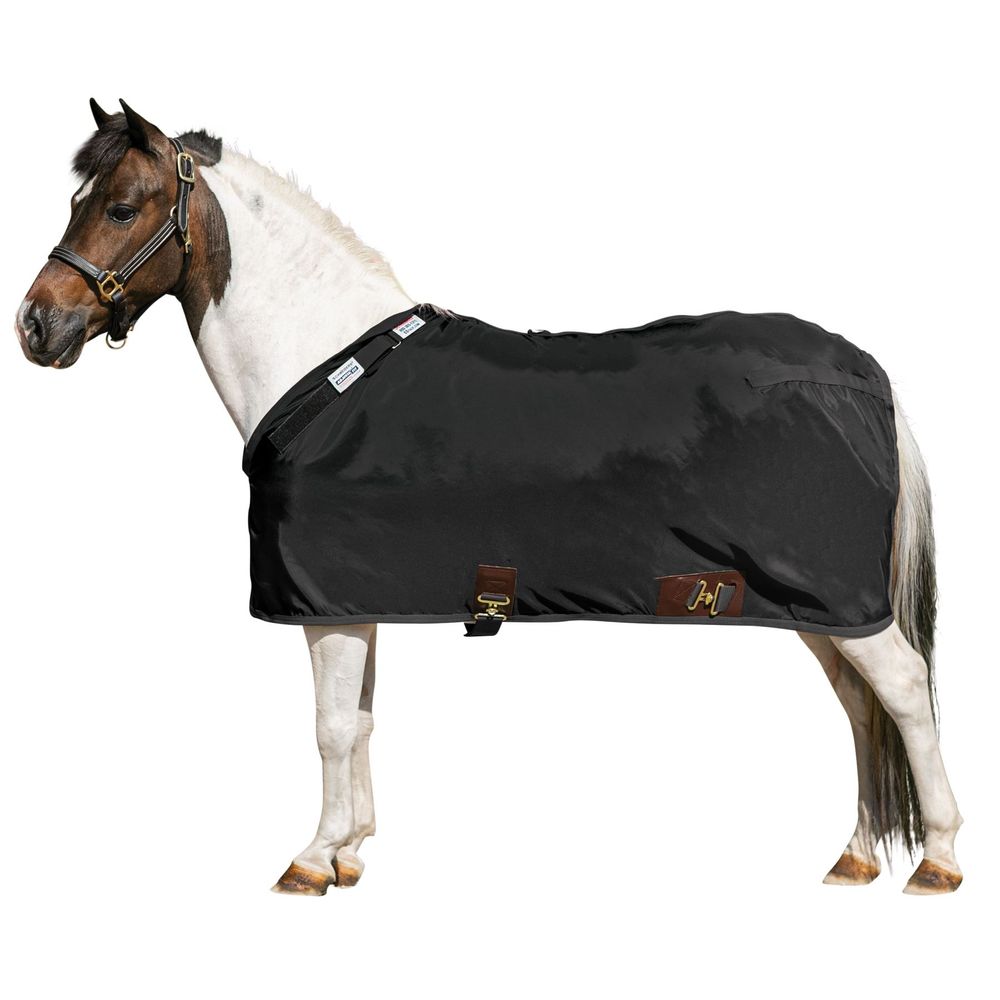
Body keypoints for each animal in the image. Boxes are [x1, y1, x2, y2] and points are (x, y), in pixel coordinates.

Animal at [14, 99, 964, 896]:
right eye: (78, 200)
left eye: (123, 207)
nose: (35, 325)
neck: (322, 370)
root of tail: (865, 373)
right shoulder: (356, 600)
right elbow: (362, 722)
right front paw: (352, 853)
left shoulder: (321, 604)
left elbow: (329, 727)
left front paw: (312, 860)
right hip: (816, 607)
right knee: (860, 707)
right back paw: (855, 857)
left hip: (841, 602)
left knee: (903, 692)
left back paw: (940, 861)